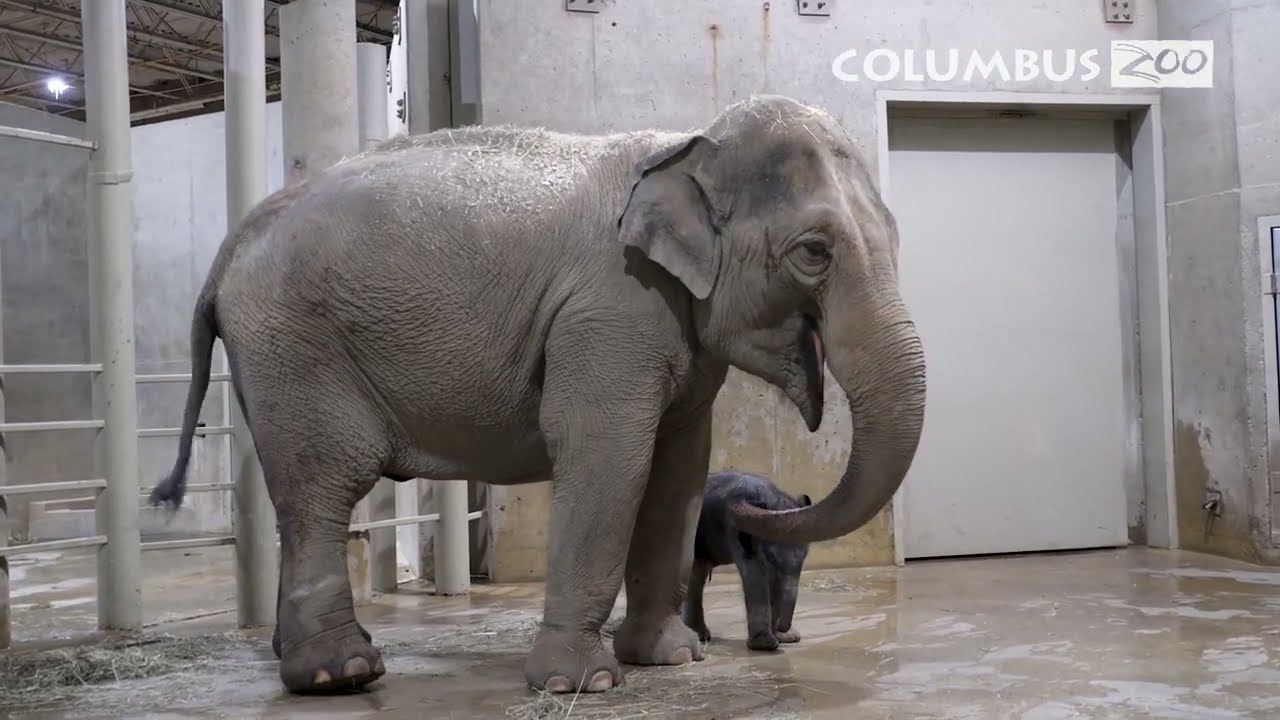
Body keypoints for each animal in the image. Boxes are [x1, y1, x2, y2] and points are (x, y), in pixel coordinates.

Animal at [683, 469, 812, 652]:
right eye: (771, 556)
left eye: (805, 555)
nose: (782, 629)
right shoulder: (735, 527)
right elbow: (754, 571)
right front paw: (765, 645)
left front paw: (785, 638)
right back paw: (700, 637)